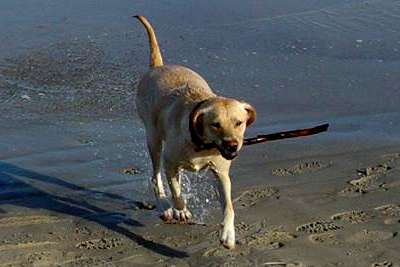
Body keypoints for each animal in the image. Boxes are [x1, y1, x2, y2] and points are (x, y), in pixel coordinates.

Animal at [134, 15, 256, 249]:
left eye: (239, 123)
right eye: (215, 124)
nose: (232, 145)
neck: (201, 144)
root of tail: (158, 67)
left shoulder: (221, 173)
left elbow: (229, 206)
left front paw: (228, 234)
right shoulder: (170, 161)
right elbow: (176, 193)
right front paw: (180, 210)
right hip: (153, 139)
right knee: (156, 176)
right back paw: (164, 204)